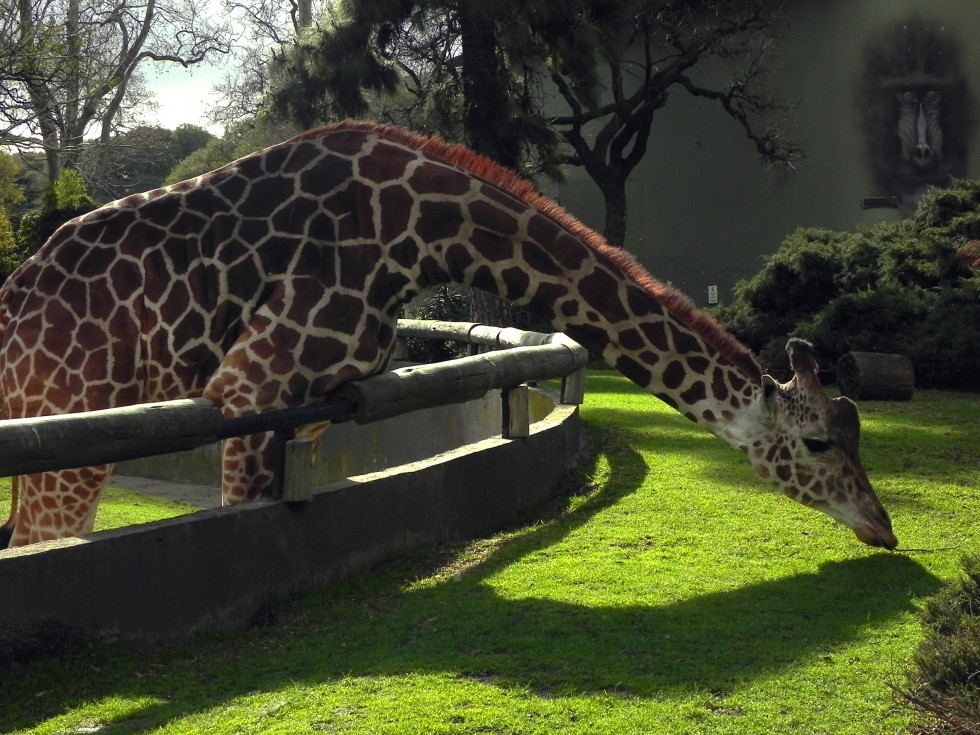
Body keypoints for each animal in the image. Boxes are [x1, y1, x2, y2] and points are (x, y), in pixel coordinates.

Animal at [0, 121, 896, 548]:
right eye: (817, 442)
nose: (881, 527)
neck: (412, 232)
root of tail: (10, 311)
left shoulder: (319, 406)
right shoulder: (247, 389)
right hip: (68, 437)